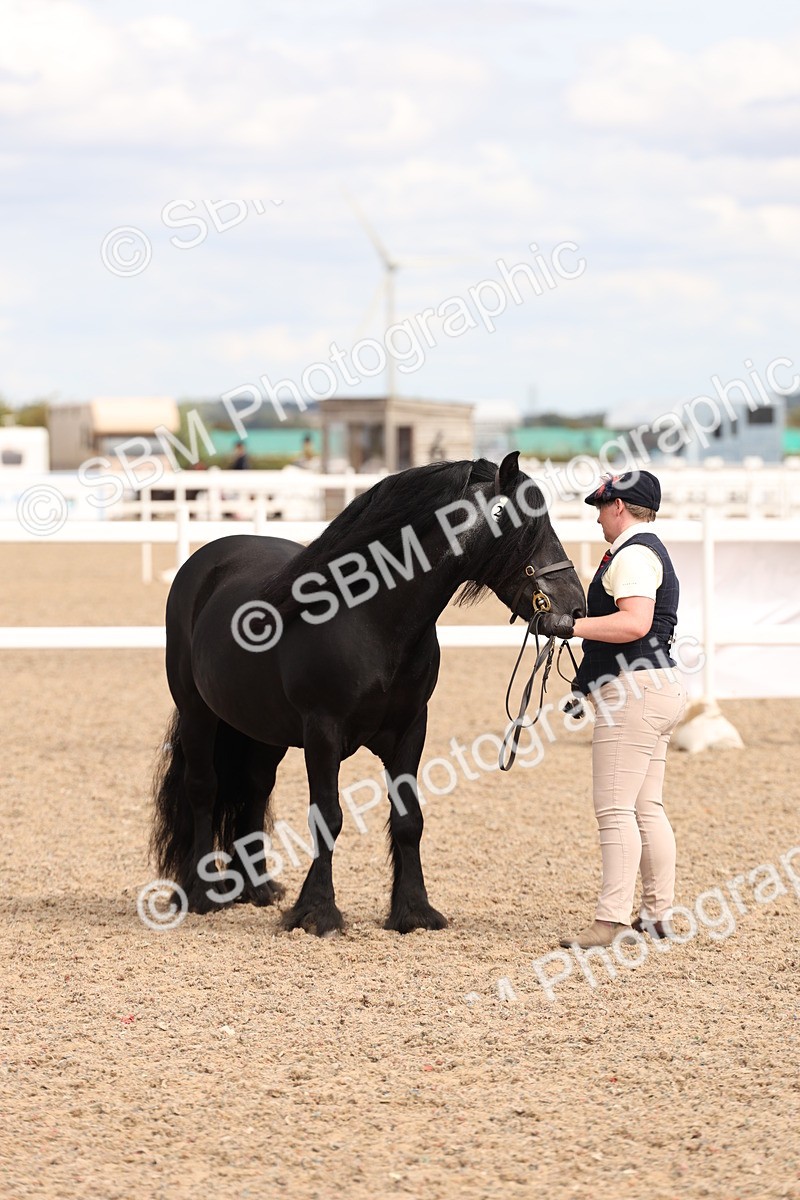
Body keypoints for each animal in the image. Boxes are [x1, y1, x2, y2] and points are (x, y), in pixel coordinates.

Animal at [150, 452, 586, 935]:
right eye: (525, 527)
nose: (574, 609)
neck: (371, 620)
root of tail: (205, 562)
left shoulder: (412, 728)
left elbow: (409, 818)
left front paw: (414, 911)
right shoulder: (322, 732)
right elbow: (328, 816)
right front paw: (318, 912)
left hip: (262, 729)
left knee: (255, 788)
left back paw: (258, 889)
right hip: (197, 712)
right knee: (202, 788)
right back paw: (201, 893)